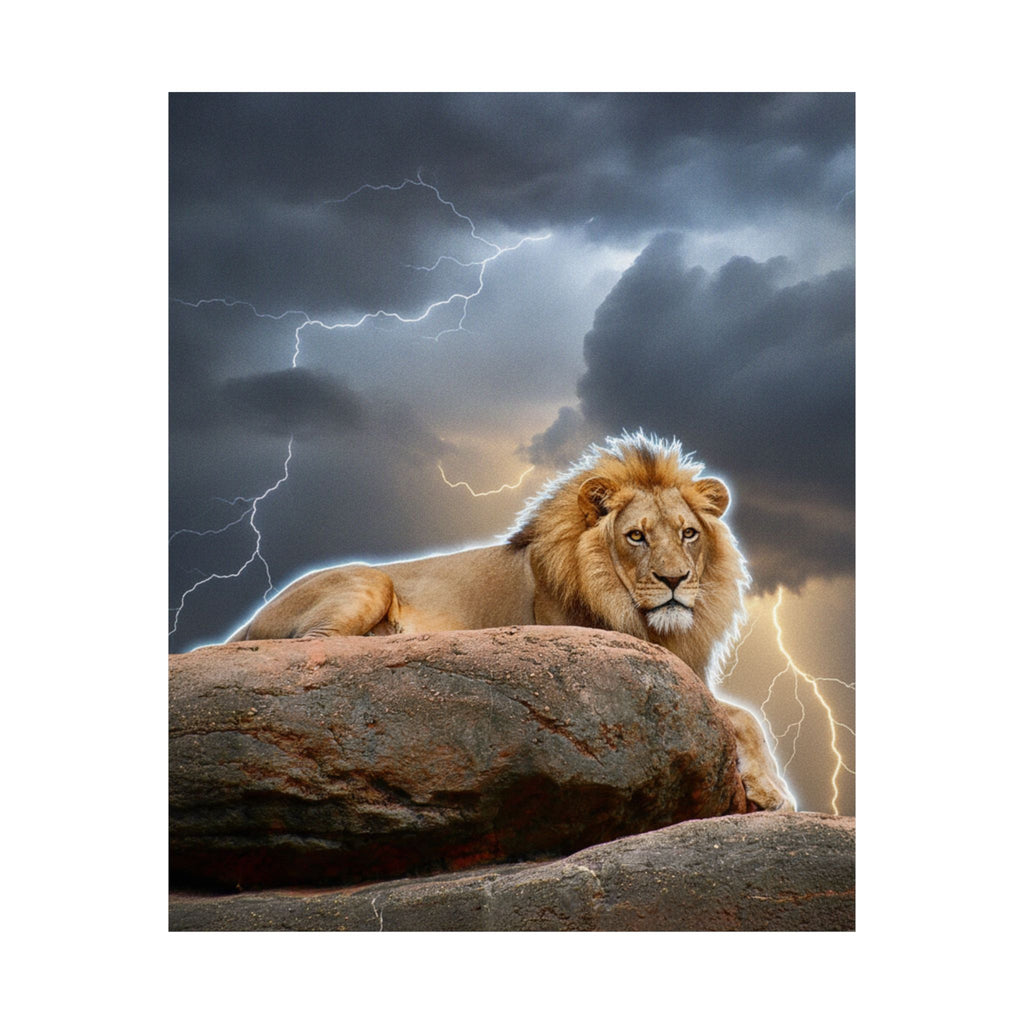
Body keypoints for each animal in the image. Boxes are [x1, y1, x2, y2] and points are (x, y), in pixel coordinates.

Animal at [227, 431, 795, 811]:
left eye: (688, 533)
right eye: (636, 536)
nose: (675, 580)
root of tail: (250, 617)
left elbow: (748, 716)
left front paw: (770, 790)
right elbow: (739, 714)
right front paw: (774, 793)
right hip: (369, 582)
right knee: (315, 646)